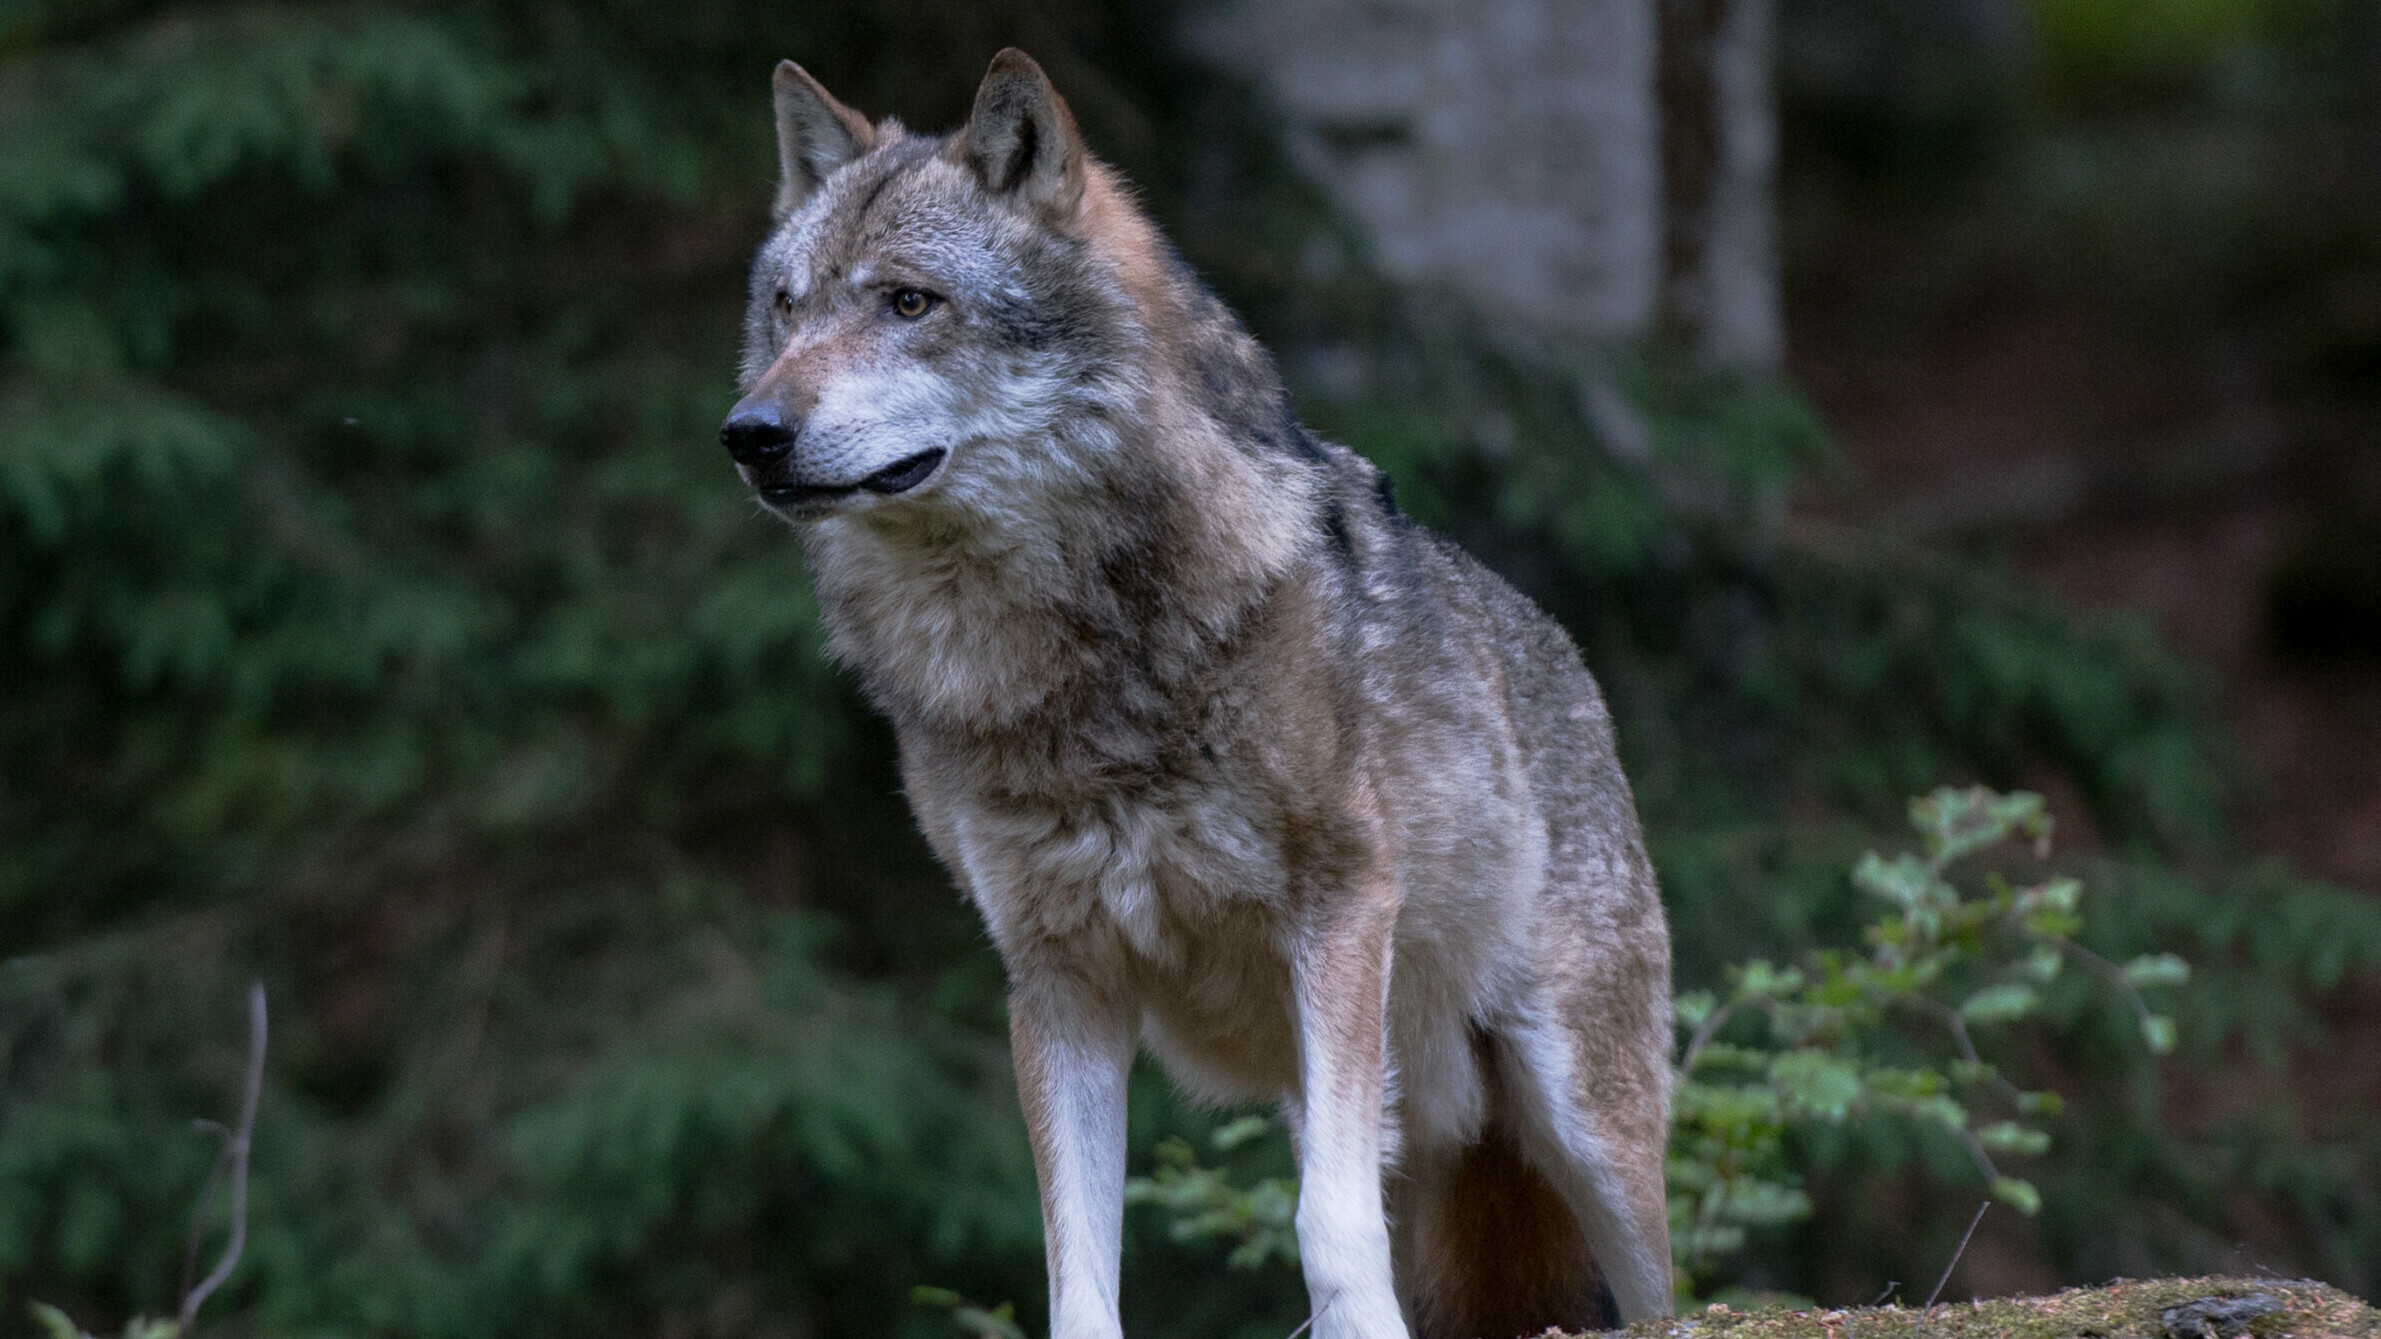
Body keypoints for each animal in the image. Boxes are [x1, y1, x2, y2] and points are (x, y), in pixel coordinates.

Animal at [720, 50, 1675, 1339]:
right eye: (788, 307)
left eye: (908, 304)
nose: (749, 433)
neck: (1059, 672)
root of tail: (1567, 663)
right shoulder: (1056, 981)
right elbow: (1076, 1270)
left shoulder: (1339, 907)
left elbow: (1326, 1226)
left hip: (1579, 1119)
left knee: (1670, 1283)